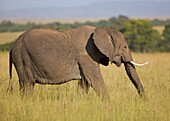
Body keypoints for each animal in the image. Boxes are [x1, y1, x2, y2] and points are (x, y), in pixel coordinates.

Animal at [7, 25, 147, 100]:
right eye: (124, 47)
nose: (144, 100)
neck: (104, 30)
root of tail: (13, 47)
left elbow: (85, 82)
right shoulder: (86, 54)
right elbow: (95, 79)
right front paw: (110, 107)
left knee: (25, 85)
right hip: (22, 58)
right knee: (27, 84)